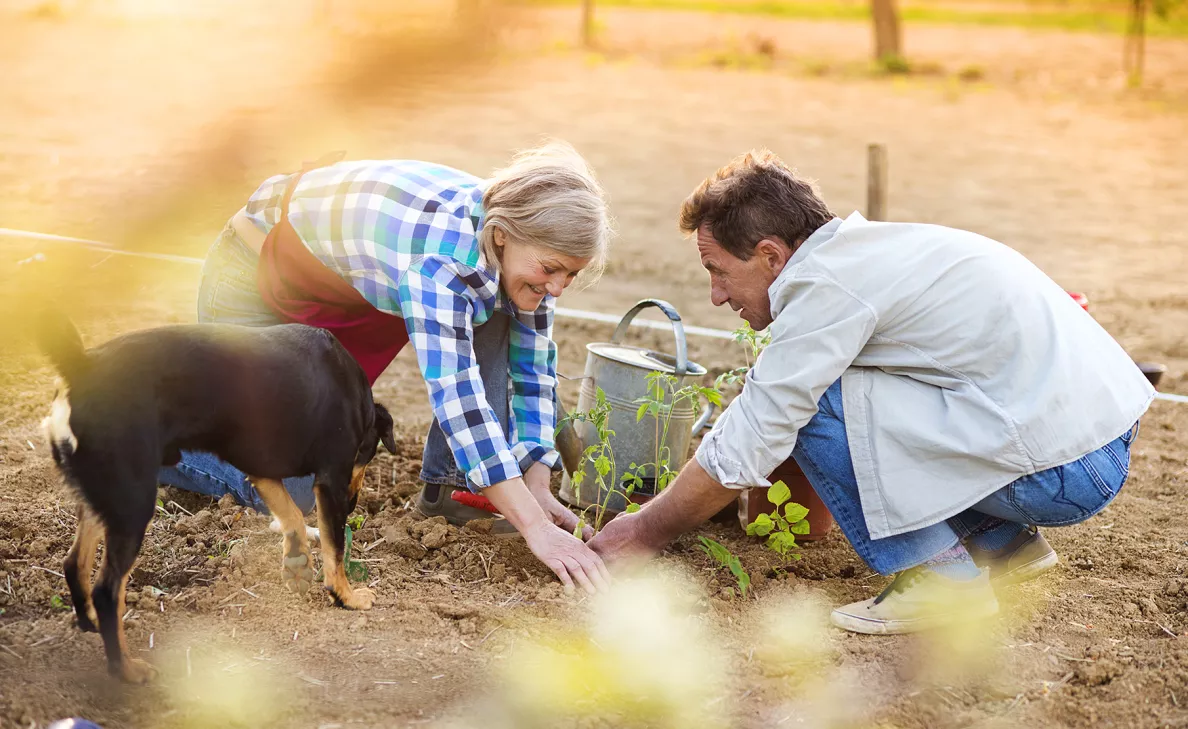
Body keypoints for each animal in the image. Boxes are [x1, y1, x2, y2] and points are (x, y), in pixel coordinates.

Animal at [31, 313, 394, 683]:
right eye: (369, 454)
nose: (354, 503)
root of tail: (81, 365)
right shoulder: (331, 478)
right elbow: (335, 548)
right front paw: (346, 596)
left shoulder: (258, 467)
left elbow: (291, 514)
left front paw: (296, 559)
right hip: (133, 503)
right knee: (107, 591)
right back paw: (126, 669)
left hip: (105, 497)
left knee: (74, 564)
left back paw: (89, 622)